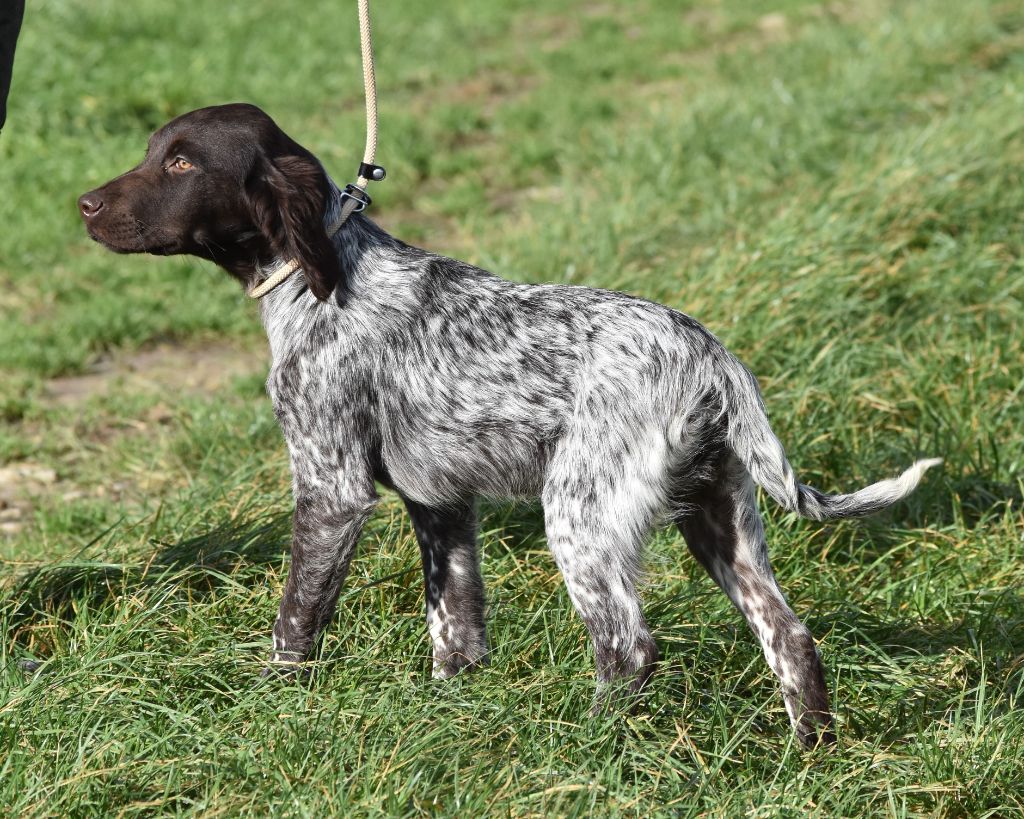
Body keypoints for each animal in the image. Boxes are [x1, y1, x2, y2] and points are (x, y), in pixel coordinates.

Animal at [78, 103, 939, 747]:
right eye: (154, 152)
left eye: (182, 164)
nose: (83, 205)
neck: (323, 276)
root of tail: (710, 355)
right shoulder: (440, 503)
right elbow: (455, 627)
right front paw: (450, 712)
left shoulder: (330, 487)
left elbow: (297, 617)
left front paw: (272, 701)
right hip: (719, 515)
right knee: (788, 637)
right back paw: (811, 751)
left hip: (582, 513)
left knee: (628, 648)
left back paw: (588, 748)